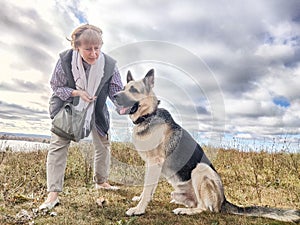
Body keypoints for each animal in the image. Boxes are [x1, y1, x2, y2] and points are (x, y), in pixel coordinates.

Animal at [113, 69, 300, 223]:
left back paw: (186, 211)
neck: (148, 116)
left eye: (133, 90)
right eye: (124, 87)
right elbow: (147, 187)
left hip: (201, 169)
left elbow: (148, 189)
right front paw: (139, 200)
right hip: (179, 190)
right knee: (196, 203)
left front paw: (139, 209)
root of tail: (223, 201)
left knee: (205, 207)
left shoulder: (155, 162)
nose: (114, 96)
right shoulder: (149, 164)